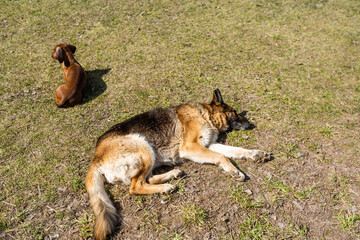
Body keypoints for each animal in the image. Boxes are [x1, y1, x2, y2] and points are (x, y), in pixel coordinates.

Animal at [86, 88, 272, 240]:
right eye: (234, 112)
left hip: (149, 154)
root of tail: (96, 158)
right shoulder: (191, 147)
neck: (204, 114)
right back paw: (165, 187)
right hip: (143, 145)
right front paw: (234, 171)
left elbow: (235, 150)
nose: (251, 124)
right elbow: (222, 157)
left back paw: (172, 175)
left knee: (147, 179)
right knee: (135, 186)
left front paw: (255, 154)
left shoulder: (209, 145)